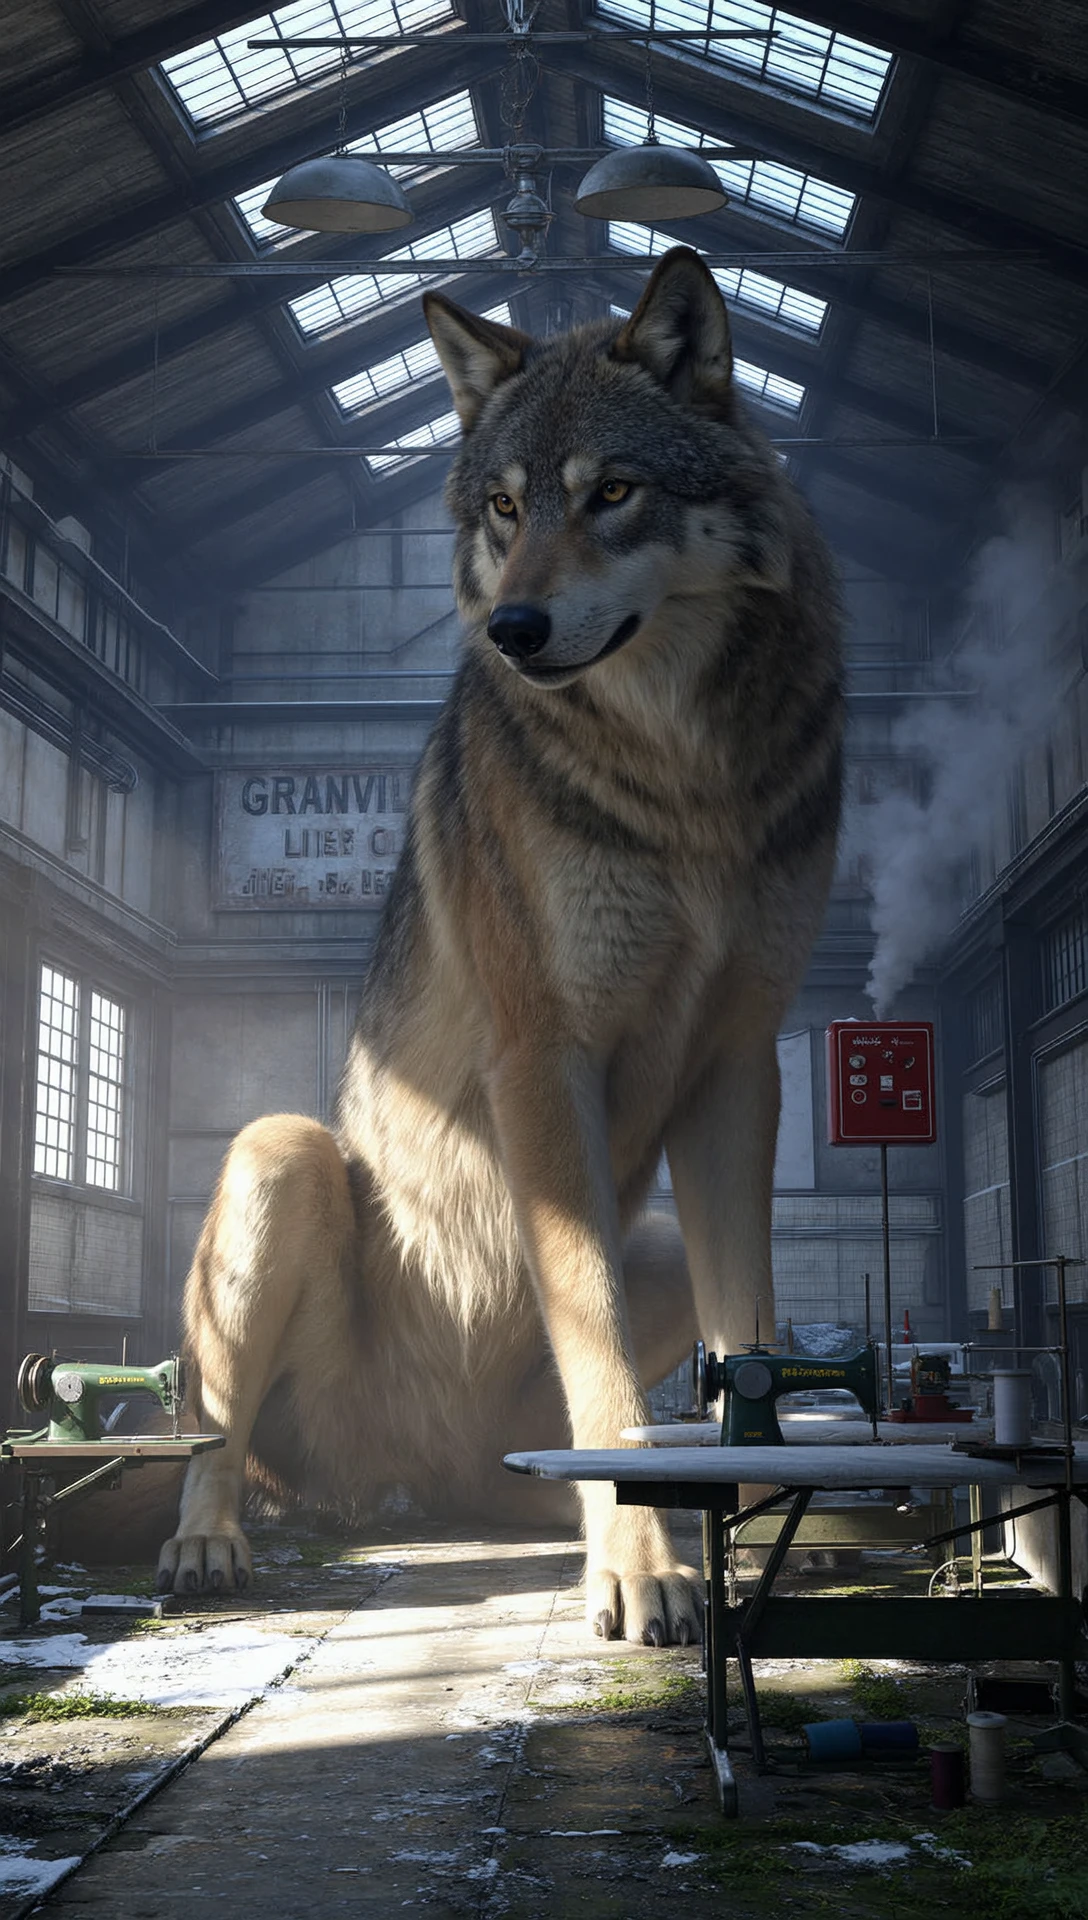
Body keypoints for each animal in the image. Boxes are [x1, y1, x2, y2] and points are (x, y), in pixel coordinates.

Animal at [156, 248, 843, 1645]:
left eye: (611, 493)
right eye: (505, 508)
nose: (515, 631)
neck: (681, 783)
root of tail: (404, 1482)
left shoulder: (740, 1065)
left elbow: (746, 1329)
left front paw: (745, 1535)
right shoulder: (540, 1058)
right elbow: (592, 1340)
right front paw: (643, 1569)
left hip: (645, 1246)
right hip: (277, 1158)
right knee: (212, 1435)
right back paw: (210, 1547)